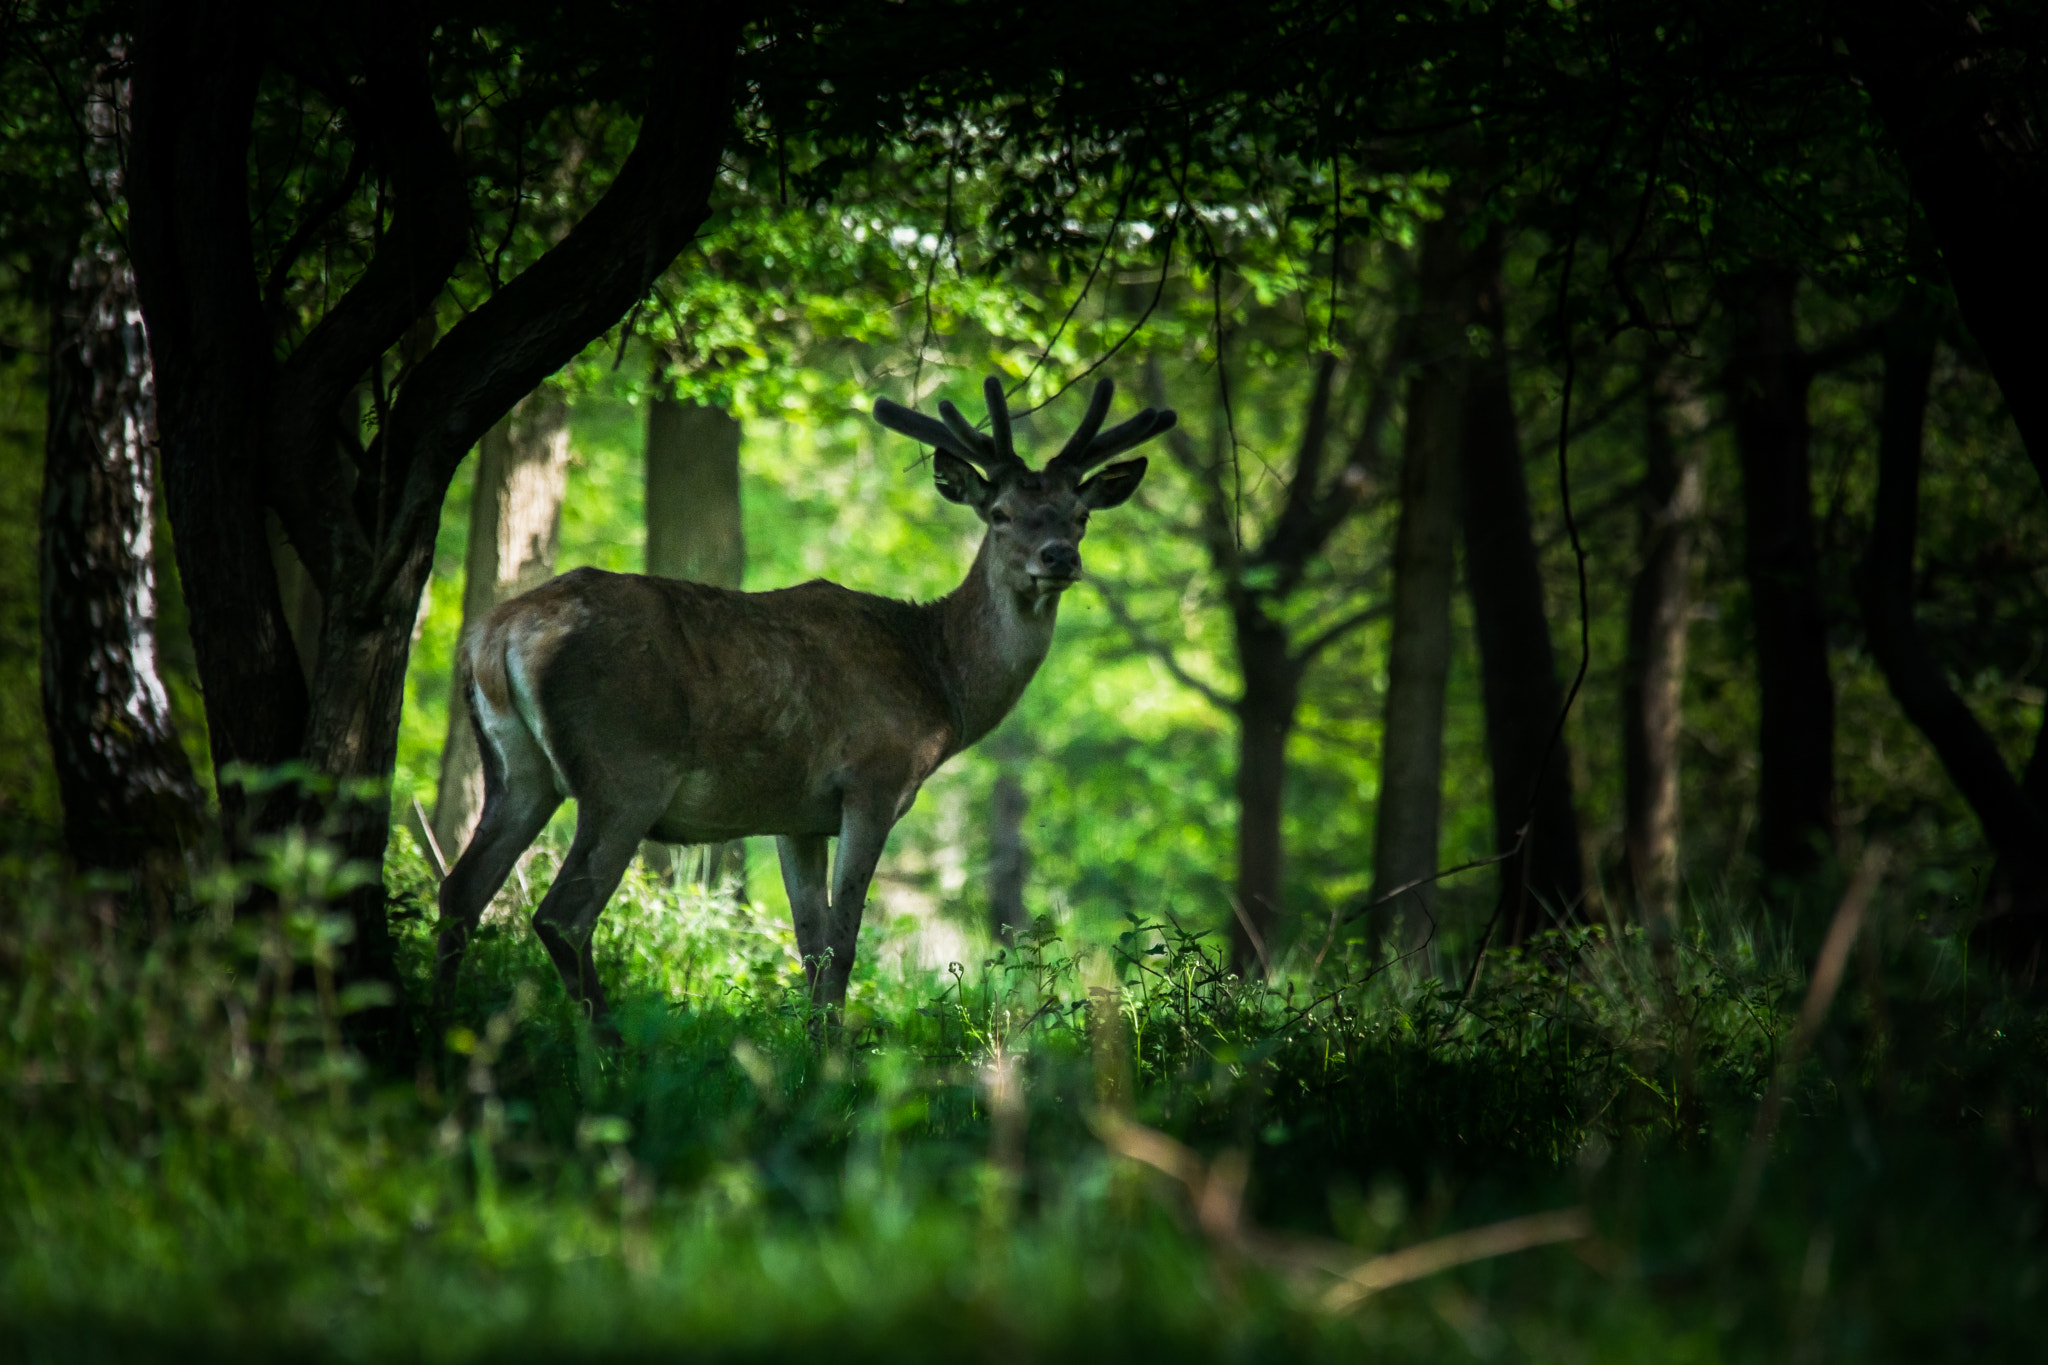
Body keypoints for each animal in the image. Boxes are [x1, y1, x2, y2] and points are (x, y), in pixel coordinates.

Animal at [423, 378, 1179, 1031]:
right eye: (999, 514)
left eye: (1080, 515)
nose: (1058, 557)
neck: (939, 683)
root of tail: (498, 633)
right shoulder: (873, 779)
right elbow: (844, 941)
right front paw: (838, 1064)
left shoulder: (795, 814)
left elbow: (810, 943)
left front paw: (814, 1053)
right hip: (623, 770)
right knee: (562, 914)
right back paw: (606, 1052)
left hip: (519, 770)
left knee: (460, 892)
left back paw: (439, 1038)